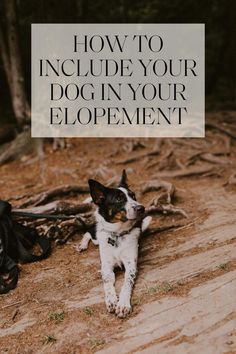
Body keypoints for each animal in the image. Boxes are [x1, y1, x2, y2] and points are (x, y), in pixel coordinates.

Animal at [76, 171, 152, 318]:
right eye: (118, 199)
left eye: (133, 196)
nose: (141, 208)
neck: (117, 234)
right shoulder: (106, 266)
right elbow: (107, 283)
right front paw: (111, 299)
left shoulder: (131, 265)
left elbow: (126, 284)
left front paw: (123, 304)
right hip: (97, 236)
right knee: (89, 232)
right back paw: (82, 244)